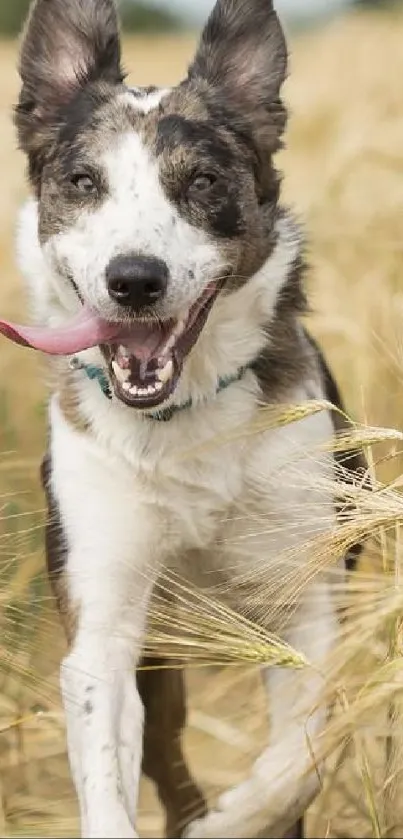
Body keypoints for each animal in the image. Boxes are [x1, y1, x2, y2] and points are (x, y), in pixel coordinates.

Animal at [0, 0, 368, 836]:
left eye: (201, 181)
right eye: (83, 182)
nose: (134, 279)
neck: (180, 417)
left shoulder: (306, 604)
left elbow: (294, 763)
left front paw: (229, 821)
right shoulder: (104, 625)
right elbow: (107, 764)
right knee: (166, 763)